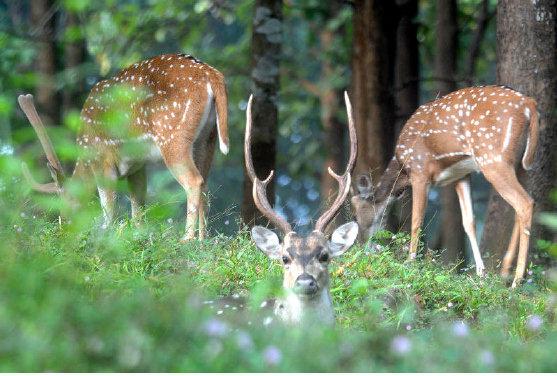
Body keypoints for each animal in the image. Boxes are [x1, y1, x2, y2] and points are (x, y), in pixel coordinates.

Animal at [19, 53, 228, 241]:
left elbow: (108, 209)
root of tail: (210, 73)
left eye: (67, 202)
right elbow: (137, 209)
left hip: (173, 136)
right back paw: (203, 240)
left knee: (193, 181)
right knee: (205, 183)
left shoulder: (102, 159)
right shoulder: (137, 167)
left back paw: (187, 239)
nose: (63, 230)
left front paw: (106, 236)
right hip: (207, 139)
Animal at [350, 86, 536, 288]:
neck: (403, 168)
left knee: (525, 202)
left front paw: (410, 262)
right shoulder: (461, 176)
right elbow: (468, 222)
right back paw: (504, 272)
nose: (360, 246)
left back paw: (516, 280)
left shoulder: (420, 171)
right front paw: (481, 273)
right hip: (519, 164)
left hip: (493, 158)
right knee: (520, 207)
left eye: (356, 215)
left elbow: (416, 220)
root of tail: (529, 105)